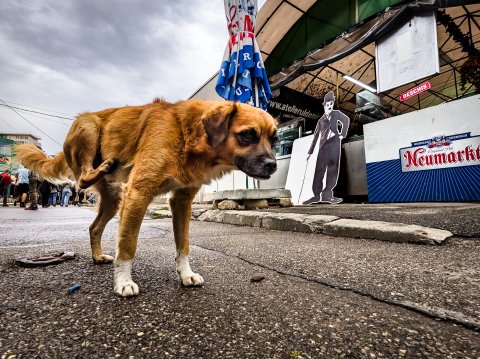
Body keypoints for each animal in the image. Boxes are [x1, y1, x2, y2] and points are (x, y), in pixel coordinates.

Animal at [15, 99, 278, 298]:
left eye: (273, 139)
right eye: (247, 135)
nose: (273, 165)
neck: (187, 134)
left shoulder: (182, 200)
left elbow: (183, 244)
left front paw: (185, 274)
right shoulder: (138, 193)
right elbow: (128, 246)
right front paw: (123, 282)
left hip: (113, 201)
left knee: (94, 226)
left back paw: (97, 256)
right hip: (89, 130)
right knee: (81, 179)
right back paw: (104, 166)